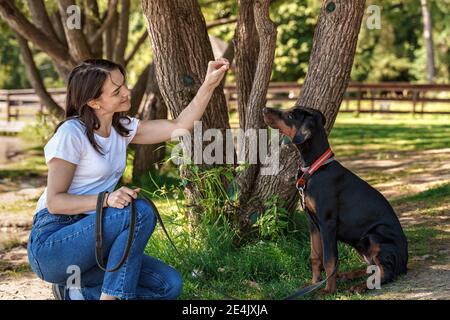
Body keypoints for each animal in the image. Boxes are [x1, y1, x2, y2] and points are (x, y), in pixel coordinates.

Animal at [264, 106, 408, 294]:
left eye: (289, 114)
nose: (264, 109)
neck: (315, 168)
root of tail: (405, 262)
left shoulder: (327, 223)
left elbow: (329, 260)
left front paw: (327, 290)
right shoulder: (313, 223)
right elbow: (315, 256)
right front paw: (314, 283)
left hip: (375, 237)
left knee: (386, 272)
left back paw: (360, 286)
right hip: (361, 244)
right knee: (372, 268)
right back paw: (347, 276)